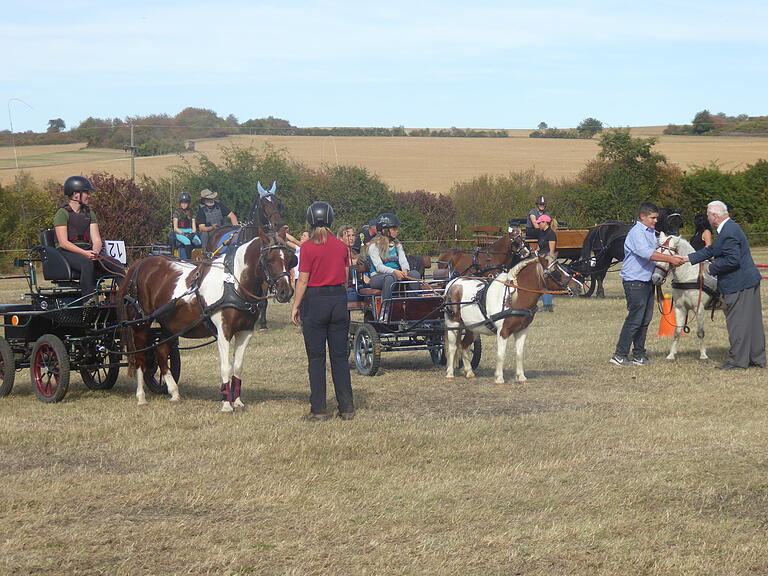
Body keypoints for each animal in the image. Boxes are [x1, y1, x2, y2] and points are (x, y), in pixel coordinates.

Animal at [118, 225, 296, 410]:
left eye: (289, 259)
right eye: (269, 260)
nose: (286, 292)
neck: (233, 284)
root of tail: (140, 264)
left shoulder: (245, 331)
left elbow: (238, 367)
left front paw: (237, 401)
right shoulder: (223, 331)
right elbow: (226, 367)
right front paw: (226, 403)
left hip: (169, 325)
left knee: (160, 353)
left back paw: (174, 392)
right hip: (141, 324)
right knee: (140, 358)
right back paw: (141, 396)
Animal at [440, 255, 584, 382]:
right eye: (556, 272)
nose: (579, 286)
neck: (514, 298)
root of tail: (453, 283)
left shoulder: (522, 330)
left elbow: (519, 354)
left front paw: (521, 377)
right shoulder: (502, 331)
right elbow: (501, 354)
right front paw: (499, 378)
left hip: (473, 327)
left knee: (463, 345)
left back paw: (469, 372)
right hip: (453, 324)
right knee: (452, 347)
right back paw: (450, 373)